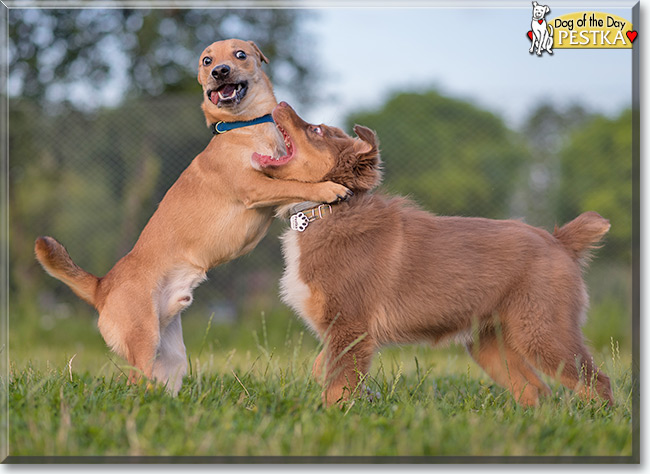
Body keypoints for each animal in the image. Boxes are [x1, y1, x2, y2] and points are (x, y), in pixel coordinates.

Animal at [34, 39, 350, 392]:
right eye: (207, 61)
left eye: (240, 54)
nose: (220, 71)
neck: (245, 126)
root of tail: (102, 286)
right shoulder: (255, 187)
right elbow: (296, 184)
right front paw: (329, 188)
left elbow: (294, 182)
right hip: (143, 340)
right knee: (133, 382)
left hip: (170, 356)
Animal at [253, 101, 612, 408]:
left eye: (316, 130)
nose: (280, 103)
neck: (328, 210)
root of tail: (559, 241)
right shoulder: (343, 332)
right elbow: (324, 369)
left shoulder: (350, 327)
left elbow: (338, 384)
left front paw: (334, 416)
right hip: (491, 343)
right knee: (535, 389)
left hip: (543, 330)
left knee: (595, 381)